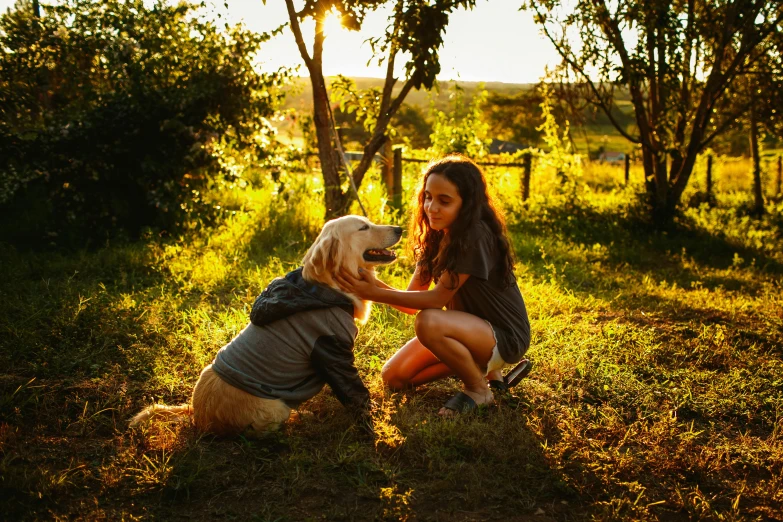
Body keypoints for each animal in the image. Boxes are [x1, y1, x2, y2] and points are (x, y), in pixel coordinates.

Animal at [131, 214, 402, 434]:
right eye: (363, 227)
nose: (399, 228)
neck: (324, 289)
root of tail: (198, 415)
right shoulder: (333, 352)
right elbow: (356, 393)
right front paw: (371, 424)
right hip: (274, 406)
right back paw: (302, 417)